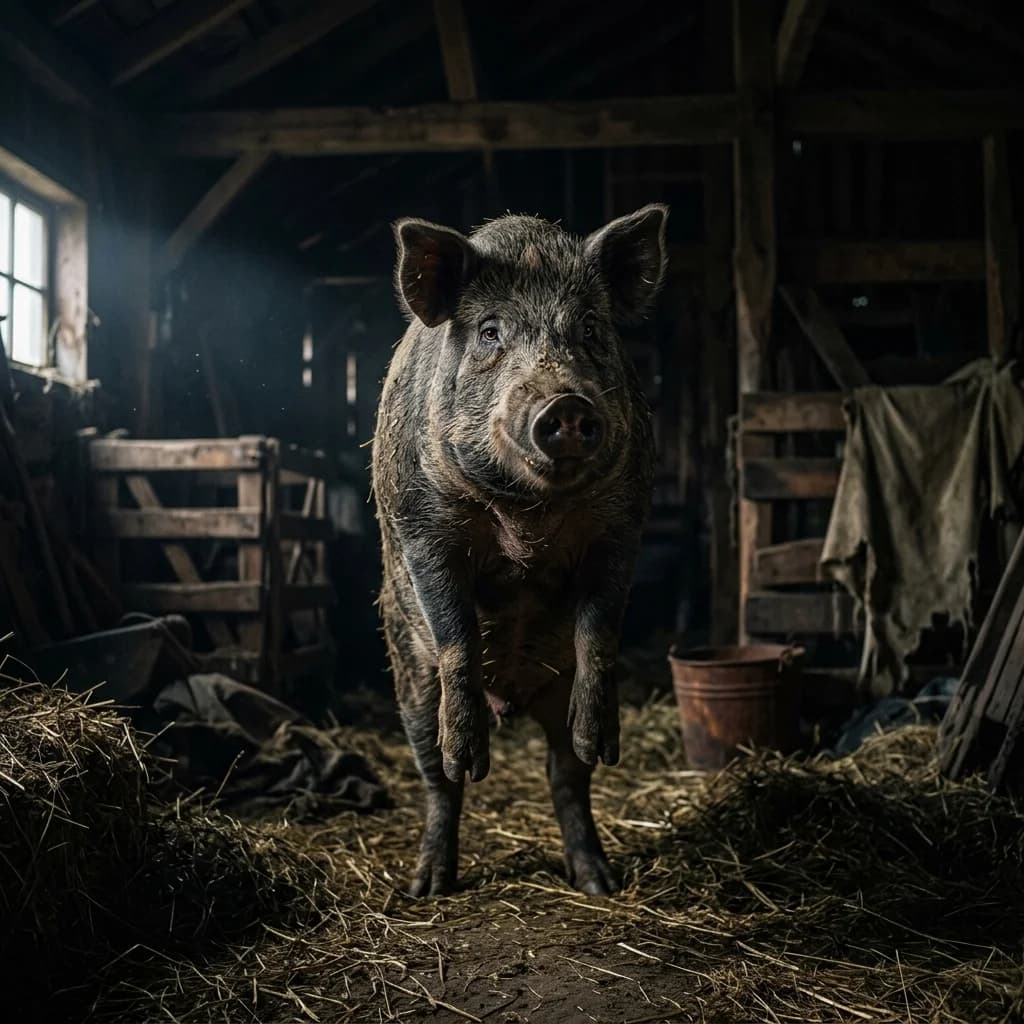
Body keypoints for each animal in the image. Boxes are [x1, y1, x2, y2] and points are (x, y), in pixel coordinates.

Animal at [371, 204, 667, 897]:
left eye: (589, 327)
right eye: (489, 331)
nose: (566, 404)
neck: (526, 514)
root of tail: (514, 696)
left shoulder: (622, 524)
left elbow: (600, 631)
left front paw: (603, 745)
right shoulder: (422, 525)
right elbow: (455, 632)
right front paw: (470, 758)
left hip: (556, 695)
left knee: (567, 777)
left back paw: (598, 880)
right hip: (408, 677)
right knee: (437, 782)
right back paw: (429, 883)